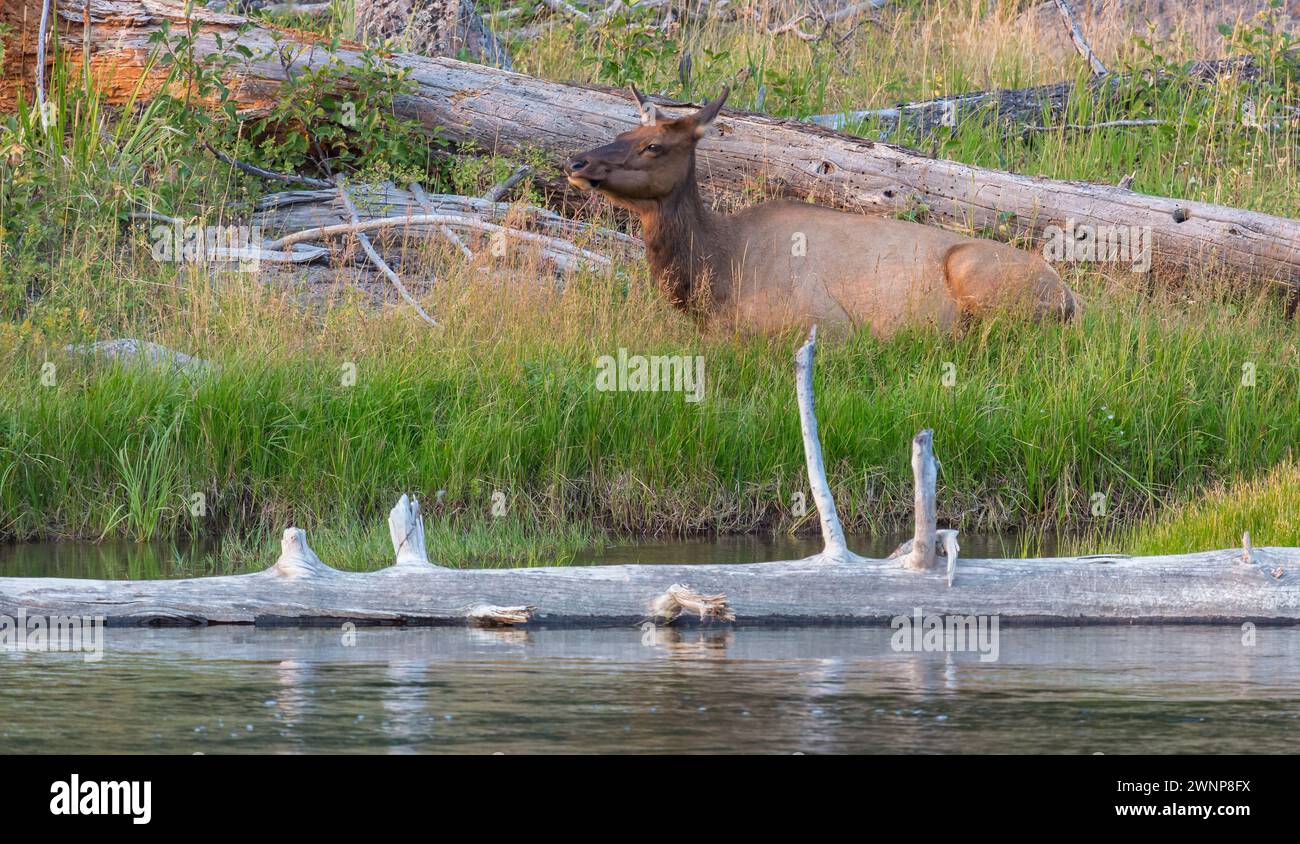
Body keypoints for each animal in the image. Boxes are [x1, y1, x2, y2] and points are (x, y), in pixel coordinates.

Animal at [564, 87, 1080, 336]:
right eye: (625, 133)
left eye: (653, 145)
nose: (576, 161)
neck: (716, 272)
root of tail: (1070, 298)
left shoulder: (817, 325)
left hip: (978, 277)